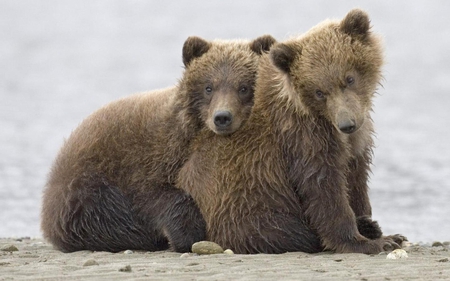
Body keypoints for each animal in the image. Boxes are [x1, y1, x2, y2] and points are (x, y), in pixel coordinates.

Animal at [42, 34, 276, 252]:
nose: (222, 117)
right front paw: (187, 234)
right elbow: (156, 198)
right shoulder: (147, 159)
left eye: (243, 87)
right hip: (84, 189)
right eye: (209, 87)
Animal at [178, 9, 406, 254]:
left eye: (349, 78)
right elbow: (323, 187)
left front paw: (373, 224)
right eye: (319, 92)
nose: (347, 123)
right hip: (244, 205)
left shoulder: (357, 140)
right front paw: (370, 241)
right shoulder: (302, 136)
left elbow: (356, 178)